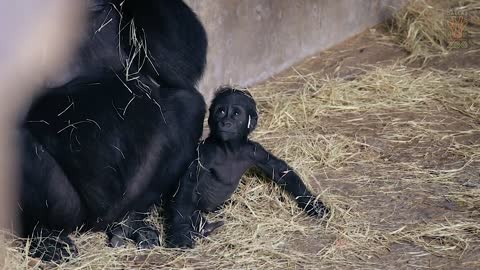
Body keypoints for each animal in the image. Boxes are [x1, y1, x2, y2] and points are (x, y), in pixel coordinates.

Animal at [19, 0, 206, 260]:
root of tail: (99, 223)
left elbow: (180, 63)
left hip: (127, 197)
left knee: (187, 104)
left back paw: (131, 222)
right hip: (73, 212)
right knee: (19, 143)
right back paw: (45, 236)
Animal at [167, 86, 328, 247]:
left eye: (236, 114)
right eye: (221, 111)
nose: (226, 122)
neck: (229, 148)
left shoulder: (254, 151)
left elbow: (280, 170)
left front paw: (313, 204)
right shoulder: (205, 153)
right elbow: (188, 186)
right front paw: (181, 233)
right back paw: (205, 227)